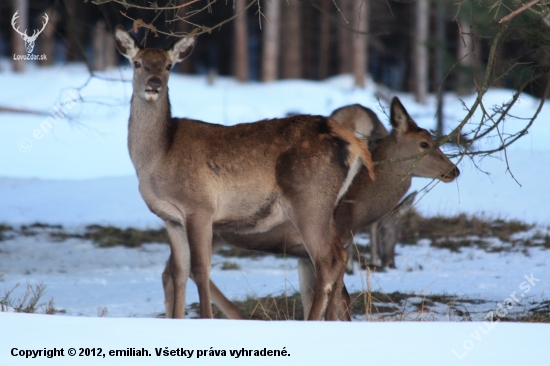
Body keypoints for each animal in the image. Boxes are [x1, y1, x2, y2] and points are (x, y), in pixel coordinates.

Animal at [115, 25, 376, 320]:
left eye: (169, 65)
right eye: (137, 63)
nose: (154, 83)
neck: (157, 158)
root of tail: (353, 141)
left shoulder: (200, 208)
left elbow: (200, 270)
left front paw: (206, 318)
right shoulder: (172, 219)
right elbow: (178, 272)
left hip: (309, 199)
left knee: (326, 260)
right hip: (325, 205)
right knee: (340, 256)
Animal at [163, 98, 462, 318]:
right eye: (425, 143)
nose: (454, 170)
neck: (357, 206)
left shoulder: (302, 253)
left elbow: (315, 296)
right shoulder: (329, 238)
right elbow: (339, 299)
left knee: (172, 272)